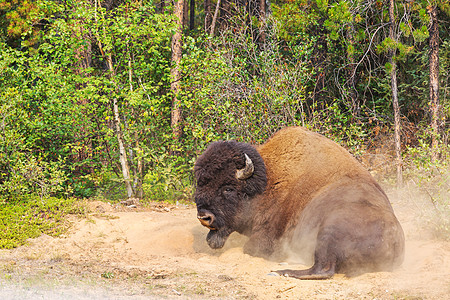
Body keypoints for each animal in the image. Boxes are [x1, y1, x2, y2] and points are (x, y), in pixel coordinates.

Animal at [193, 126, 404, 278]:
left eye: (228, 188)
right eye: (200, 183)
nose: (204, 217)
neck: (267, 180)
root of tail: (395, 239)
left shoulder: (266, 237)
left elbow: (250, 248)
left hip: (329, 231)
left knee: (323, 269)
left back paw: (282, 271)